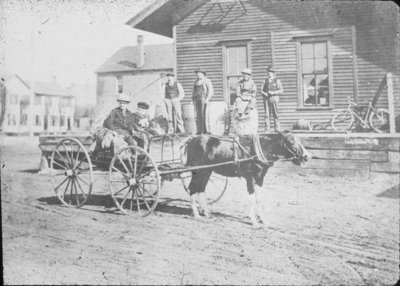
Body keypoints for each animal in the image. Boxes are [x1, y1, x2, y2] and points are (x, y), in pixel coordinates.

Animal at [181, 131, 312, 227]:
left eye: (300, 140)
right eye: (291, 142)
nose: (307, 156)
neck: (258, 150)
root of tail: (192, 139)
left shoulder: (260, 178)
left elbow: (259, 198)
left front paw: (264, 220)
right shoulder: (250, 177)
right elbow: (252, 198)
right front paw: (254, 221)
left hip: (207, 171)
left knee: (201, 188)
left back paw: (206, 212)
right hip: (198, 171)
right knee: (193, 188)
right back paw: (196, 214)